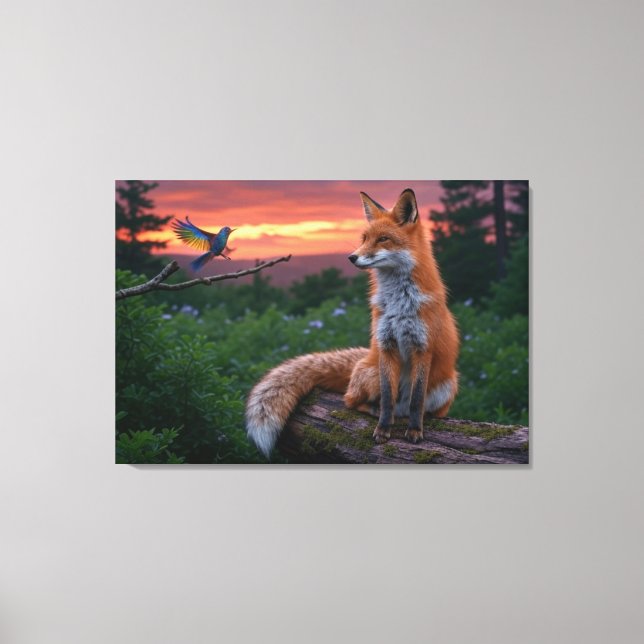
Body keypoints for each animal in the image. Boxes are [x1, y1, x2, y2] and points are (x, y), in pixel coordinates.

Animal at [246, 188, 459, 457]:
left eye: (383, 239)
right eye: (364, 238)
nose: (351, 257)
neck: (399, 303)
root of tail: (362, 359)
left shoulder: (423, 347)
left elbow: (417, 400)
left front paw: (414, 430)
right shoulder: (386, 345)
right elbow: (387, 398)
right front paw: (383, 430)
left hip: (447, 385)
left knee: (420, 408)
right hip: (371, 373)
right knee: (351, 400)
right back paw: (375, 411)